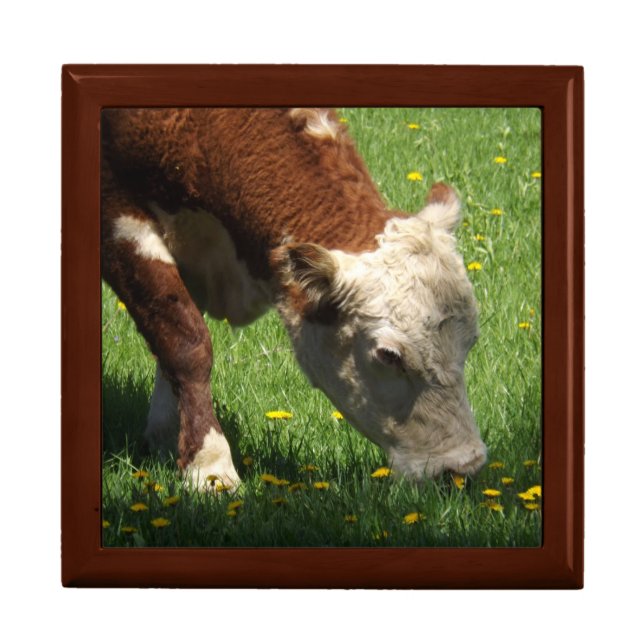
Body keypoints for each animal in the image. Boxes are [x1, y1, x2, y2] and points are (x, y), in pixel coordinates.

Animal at [101, 107, 486, 492]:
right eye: (389, 355)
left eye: (471, 341)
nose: (462, 467)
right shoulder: (120, 222)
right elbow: (187, 344)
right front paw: (209, 466)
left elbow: (170, 339)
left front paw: (167, 438)